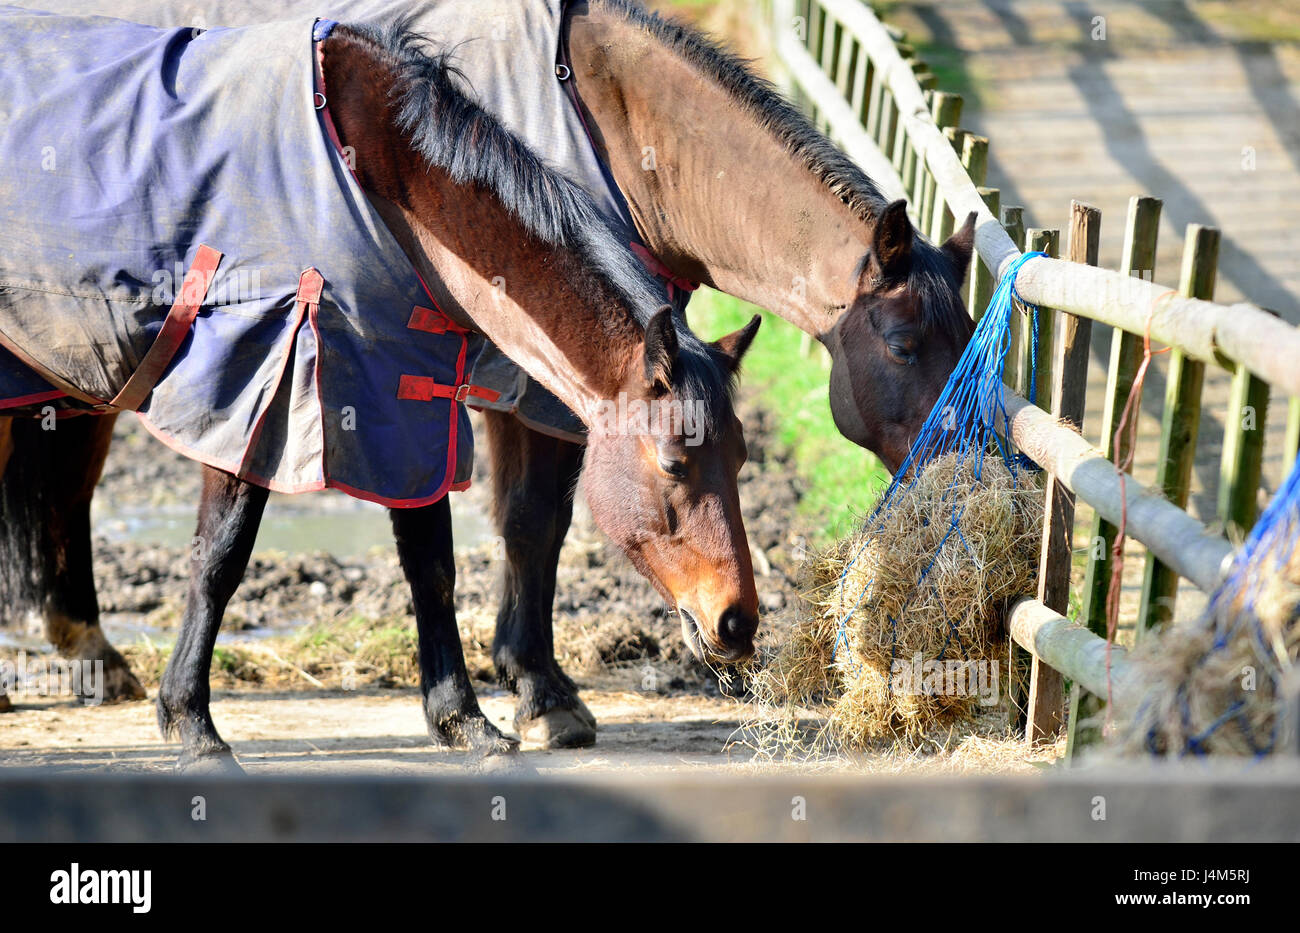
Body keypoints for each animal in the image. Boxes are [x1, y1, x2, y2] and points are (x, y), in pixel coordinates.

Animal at [2, 0, 977, 748]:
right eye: (903, 344)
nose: (738, 621)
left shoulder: (413, 386)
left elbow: (467, 547)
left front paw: (495, 703)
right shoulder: (294, 379)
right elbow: (233, 552)